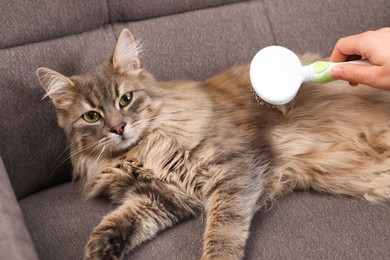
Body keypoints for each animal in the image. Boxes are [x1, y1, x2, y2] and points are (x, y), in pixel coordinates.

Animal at [36, 29, 390, 260]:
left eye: (126, 99)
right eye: (92, 116)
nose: (118, 127)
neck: (143, 149)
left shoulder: (235, 170)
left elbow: (222, 228)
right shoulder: (160, 198)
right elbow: (119, 222)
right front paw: (100, 248)